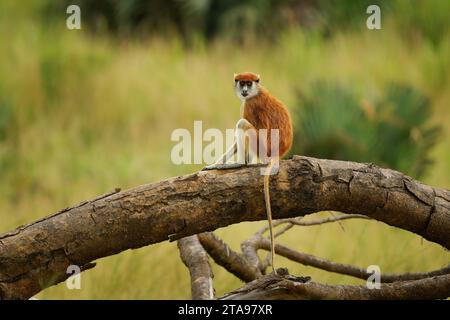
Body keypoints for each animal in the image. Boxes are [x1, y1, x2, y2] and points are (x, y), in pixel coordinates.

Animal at [203, 73, 294, 276]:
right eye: (242, 83)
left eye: (249, 83)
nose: (244, 90)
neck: (256, 92)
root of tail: (276, 155)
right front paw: (214, 164)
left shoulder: (250, 104)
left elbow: (247, 124)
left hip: (261, 147)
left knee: (243, 125)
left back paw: (242, 163)